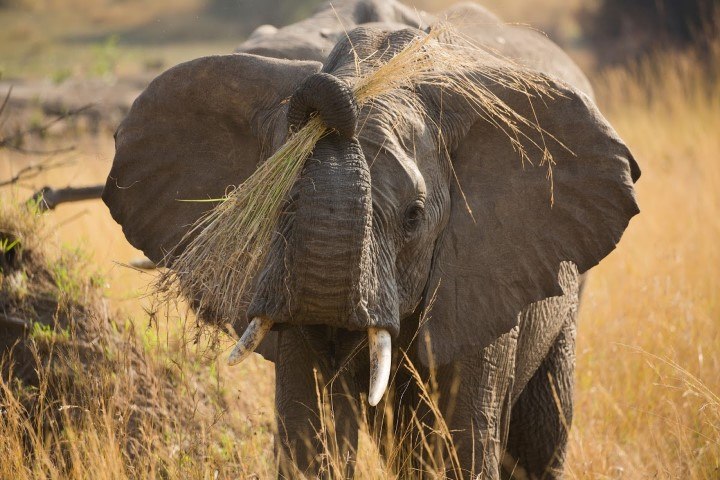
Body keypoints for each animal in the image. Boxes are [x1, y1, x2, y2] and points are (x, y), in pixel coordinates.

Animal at [102, 1, 640, 478]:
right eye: (264, 201)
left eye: (413, 217)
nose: (332, 93)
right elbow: (308, 432)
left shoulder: (487, 267)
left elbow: (466, 441)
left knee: (542, 430)